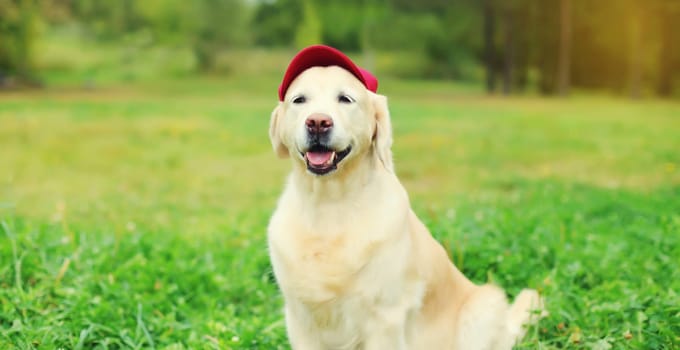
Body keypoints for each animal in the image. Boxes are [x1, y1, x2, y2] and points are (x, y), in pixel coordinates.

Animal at [268, 45, 544, 348]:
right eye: (299, 100)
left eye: (345, 99)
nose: (318, 122)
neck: (329, 205)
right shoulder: (299, 318)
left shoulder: (385, 318)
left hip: (484, 307)